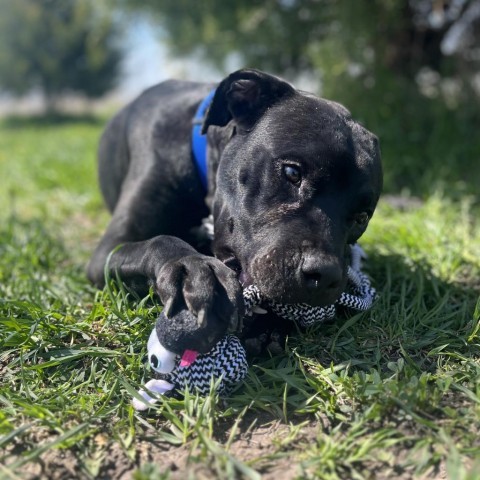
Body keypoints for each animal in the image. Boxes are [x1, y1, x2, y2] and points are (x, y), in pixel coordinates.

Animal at [88, 68, 382, 348]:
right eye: (292, 173)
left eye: (362, 217)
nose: (326, 274)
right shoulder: (108, 250)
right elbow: (159, 241)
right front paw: (192, 269)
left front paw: (268, 325)